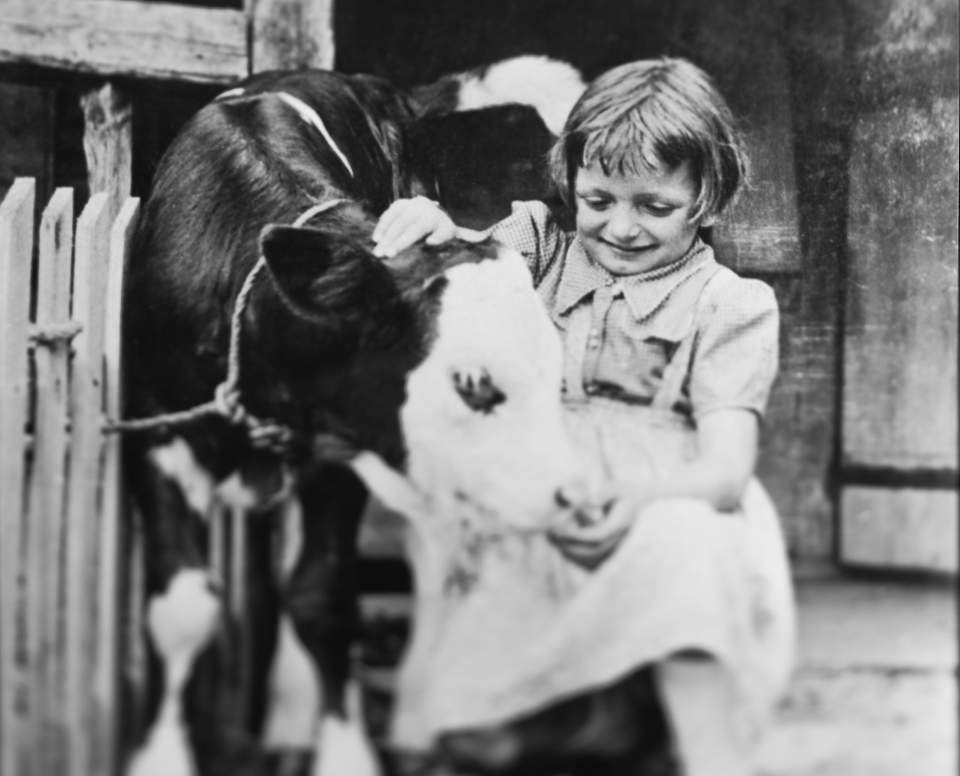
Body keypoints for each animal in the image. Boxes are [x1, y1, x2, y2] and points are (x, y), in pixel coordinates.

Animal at [120, 63, 584, 772]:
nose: (577, 495)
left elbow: (323, 599)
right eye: (473, 383)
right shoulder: (158, 425)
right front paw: (160, 756)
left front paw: (345, 752)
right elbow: (183, 606)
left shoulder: (341, 449)